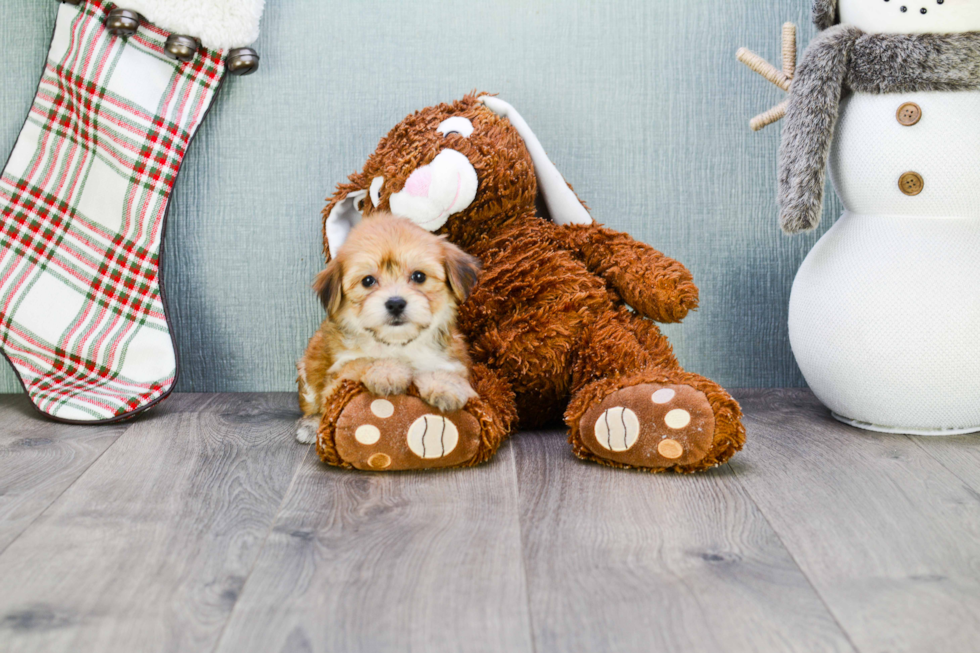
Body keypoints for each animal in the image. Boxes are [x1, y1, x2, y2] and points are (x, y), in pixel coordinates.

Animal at [296, 214, 484, 444]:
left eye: (419, 276)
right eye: (368, 281)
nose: (395, 303)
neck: (398, 343)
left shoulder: (453, 360)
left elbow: (444, 370)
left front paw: (445, 385)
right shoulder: (338, 379)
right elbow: (361, 361)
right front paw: (387, 371)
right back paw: (312, 424)